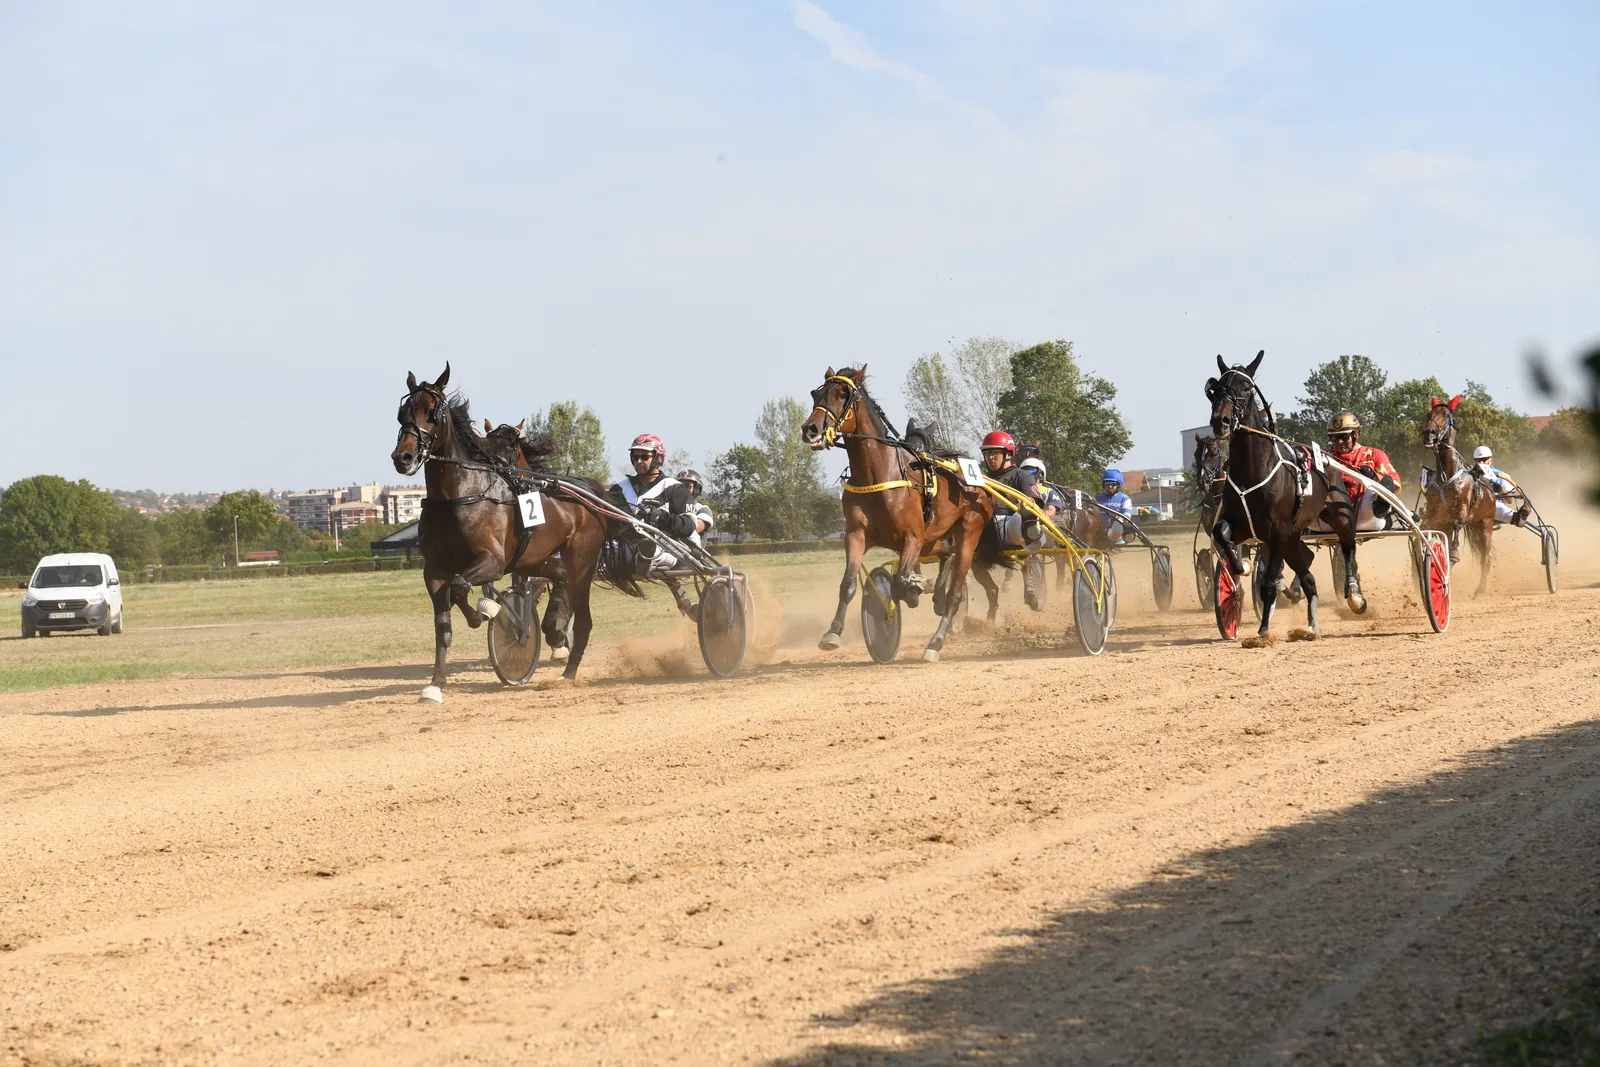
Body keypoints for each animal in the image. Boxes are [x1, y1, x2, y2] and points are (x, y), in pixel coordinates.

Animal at [390, 366, 634, 695]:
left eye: (431, 411)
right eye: (402, 413)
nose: (403, 457)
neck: (458, 496)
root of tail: (589, 491)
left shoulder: (493, 562)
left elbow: (460, 587)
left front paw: (486, 611)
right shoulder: (435, 569)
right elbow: (444, 619)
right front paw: (435, 684)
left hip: (582, 560)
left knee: (583, 616)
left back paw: (569, 672)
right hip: (537, 560)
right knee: (560, 578)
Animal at [799, 366, 997, 662]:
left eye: (843, 394)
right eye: (816, 393)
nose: (811, 429)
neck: (880, 475)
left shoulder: (913, 538)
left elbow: (899, 583)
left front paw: (910, 593)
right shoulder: (856, 534)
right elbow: (849, 584)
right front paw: (832, 633)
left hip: (968, 532)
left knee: (955, 591)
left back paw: (935, 642)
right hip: (937, 537)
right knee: (945, 560)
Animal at [1205, 351, 1362, 637]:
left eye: (1246, 388)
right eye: (1217, 388)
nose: (1220, 421)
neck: (1254, 469)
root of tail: (1327, 457)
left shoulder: (1277, 530)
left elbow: (1268, 581)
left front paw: (1264, 630)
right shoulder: (1245, 526)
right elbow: (1220, 532)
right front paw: (1239, 567)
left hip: (1338, 515)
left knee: (1348, 544)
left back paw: (1354, 594)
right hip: (1293, 536)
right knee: (1308, 573)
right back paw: (1311, 624)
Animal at [1420, 395, 1497, 595]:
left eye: (1446, 415)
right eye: (1429, 414)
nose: (1429, 433)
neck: (1446, 476)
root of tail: (1491, 492)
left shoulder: (1461, 512)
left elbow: (1454, 539)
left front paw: (1452, 559)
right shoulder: (1436, 516)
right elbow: (1428, 529)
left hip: (1485, 525)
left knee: (1485, 559)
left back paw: (1480, 589)